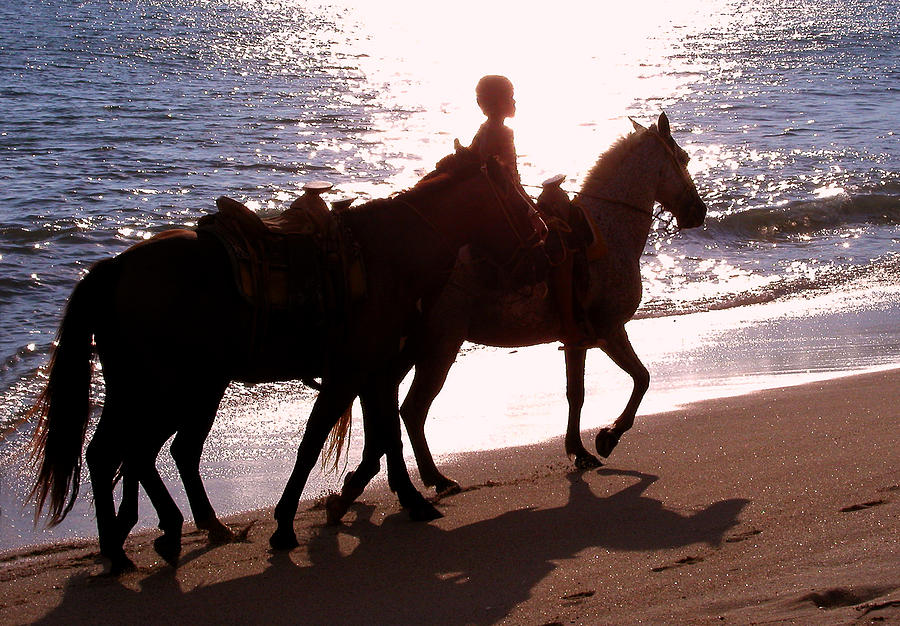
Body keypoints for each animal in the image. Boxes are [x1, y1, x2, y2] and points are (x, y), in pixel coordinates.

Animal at [28, 146, 536, 572]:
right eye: (513, 192)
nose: (541, 234)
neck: (390, 258)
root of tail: (117, 267)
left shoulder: (376, 375)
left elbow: (383, 438)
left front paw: (403, 499)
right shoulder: (353, 375)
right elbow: (317, 445)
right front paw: (288, 523)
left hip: (171, 388)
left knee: (141, 453)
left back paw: (174, 533)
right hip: (166, 388)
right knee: (133, 453)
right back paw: (136, 543)